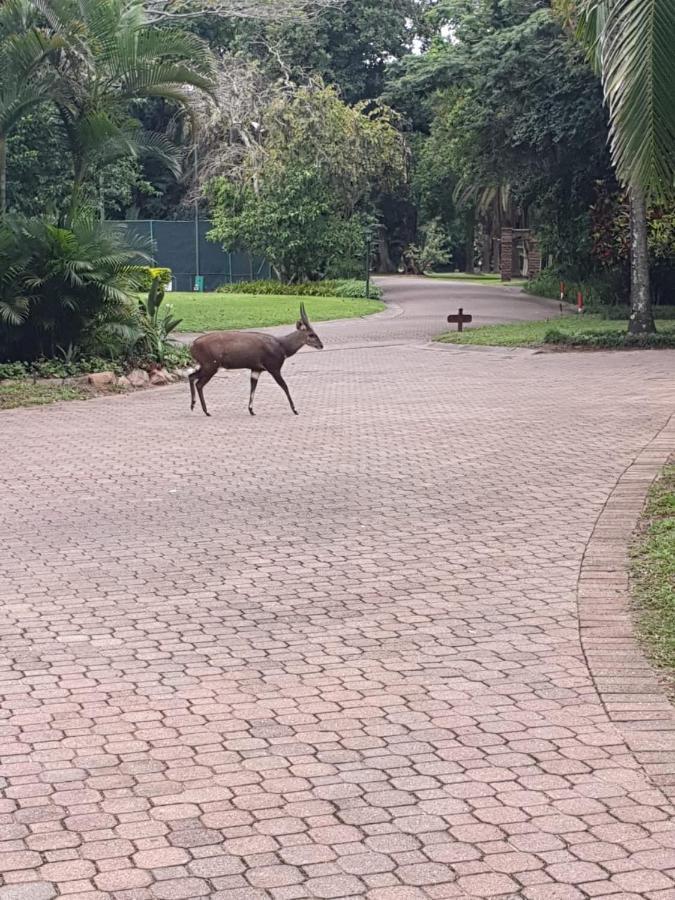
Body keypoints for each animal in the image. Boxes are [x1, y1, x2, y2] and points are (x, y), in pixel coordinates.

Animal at [187, 302, 324, 414]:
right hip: (211, 366)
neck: (281, 345)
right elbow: (284, 386)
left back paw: (193, 406)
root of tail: (192, 345)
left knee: (191, 376)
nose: (321, 345)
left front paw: (251, 410)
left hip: (207, 366)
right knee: (198, 383)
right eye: (311, 334)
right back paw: (206, 411)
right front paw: (295, 410)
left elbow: (253, 387)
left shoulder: (256, 369)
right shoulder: (273, 368)